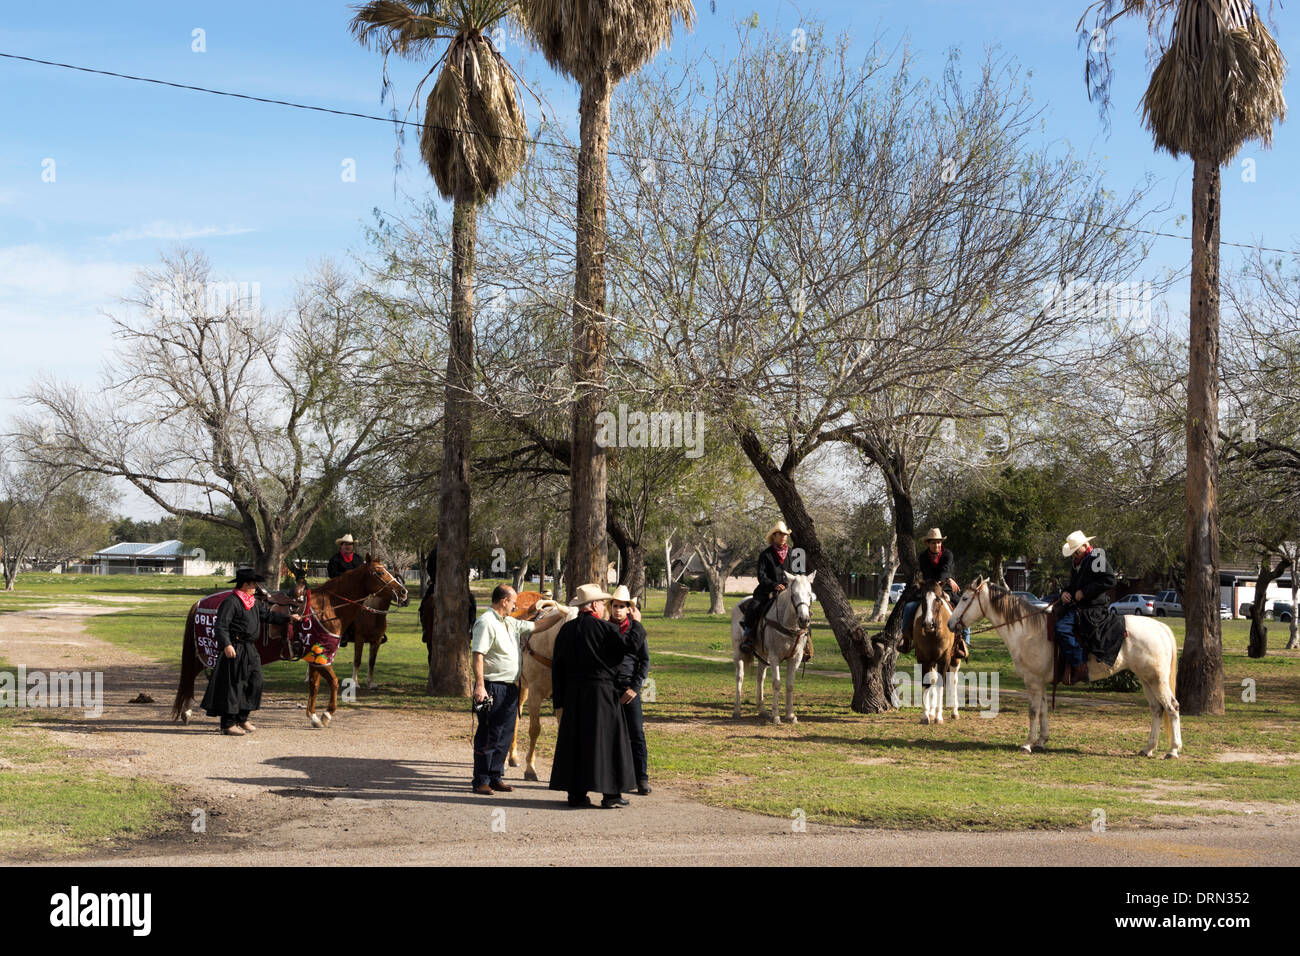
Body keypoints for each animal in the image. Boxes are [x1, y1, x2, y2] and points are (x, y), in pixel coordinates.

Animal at [171, 556, 405, 728]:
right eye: (380, 572)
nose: (403, 592)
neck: (329, 607)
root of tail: (199, 602)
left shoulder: (316, 657)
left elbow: (314, 686)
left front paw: (313, 716)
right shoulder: (322, 657)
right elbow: (334, 682)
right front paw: (327, 714)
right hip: (207, 653)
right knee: (190, 675)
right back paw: (187, 711)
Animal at [728, 572, 816, 723]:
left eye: (809, 594)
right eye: (793, 594)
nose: (804, 620)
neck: (789, 625)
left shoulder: (796, 658)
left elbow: (790, 685)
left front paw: (790, 715)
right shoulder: (775, 657)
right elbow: (777, 683)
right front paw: (776, 716)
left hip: (763, 656)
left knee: (760, 677)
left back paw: (762, 710)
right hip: (738, 651)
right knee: (739, 676)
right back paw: (737, 710)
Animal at [915, 582, 967, 723]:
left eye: (938, 599)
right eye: (922, 598)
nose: (928, 623)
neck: (933, 634)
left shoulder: (944, 659)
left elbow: (940, 684)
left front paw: (939, 717)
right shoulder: (924, 659)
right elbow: (927, 683)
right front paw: (925, 715)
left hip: (954, 659)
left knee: (953, 680)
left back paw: (954, 712)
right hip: (933, 661)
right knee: (933, 679)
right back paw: (932, 711)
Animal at [951, 580, 1185, 759]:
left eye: (965, 599)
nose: (951, 623)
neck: (1026, 630)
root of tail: (1160, 627)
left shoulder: (1032, 681)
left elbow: (1033, 711)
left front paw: (1027, 743)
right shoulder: (1042, 683)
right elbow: (1043, 710)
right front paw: (1041, 741)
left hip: (1157, 680)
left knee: (1172, 707)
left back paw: (1173, 751)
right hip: (1146, 680)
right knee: (1156, 709)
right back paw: (1148, 748)